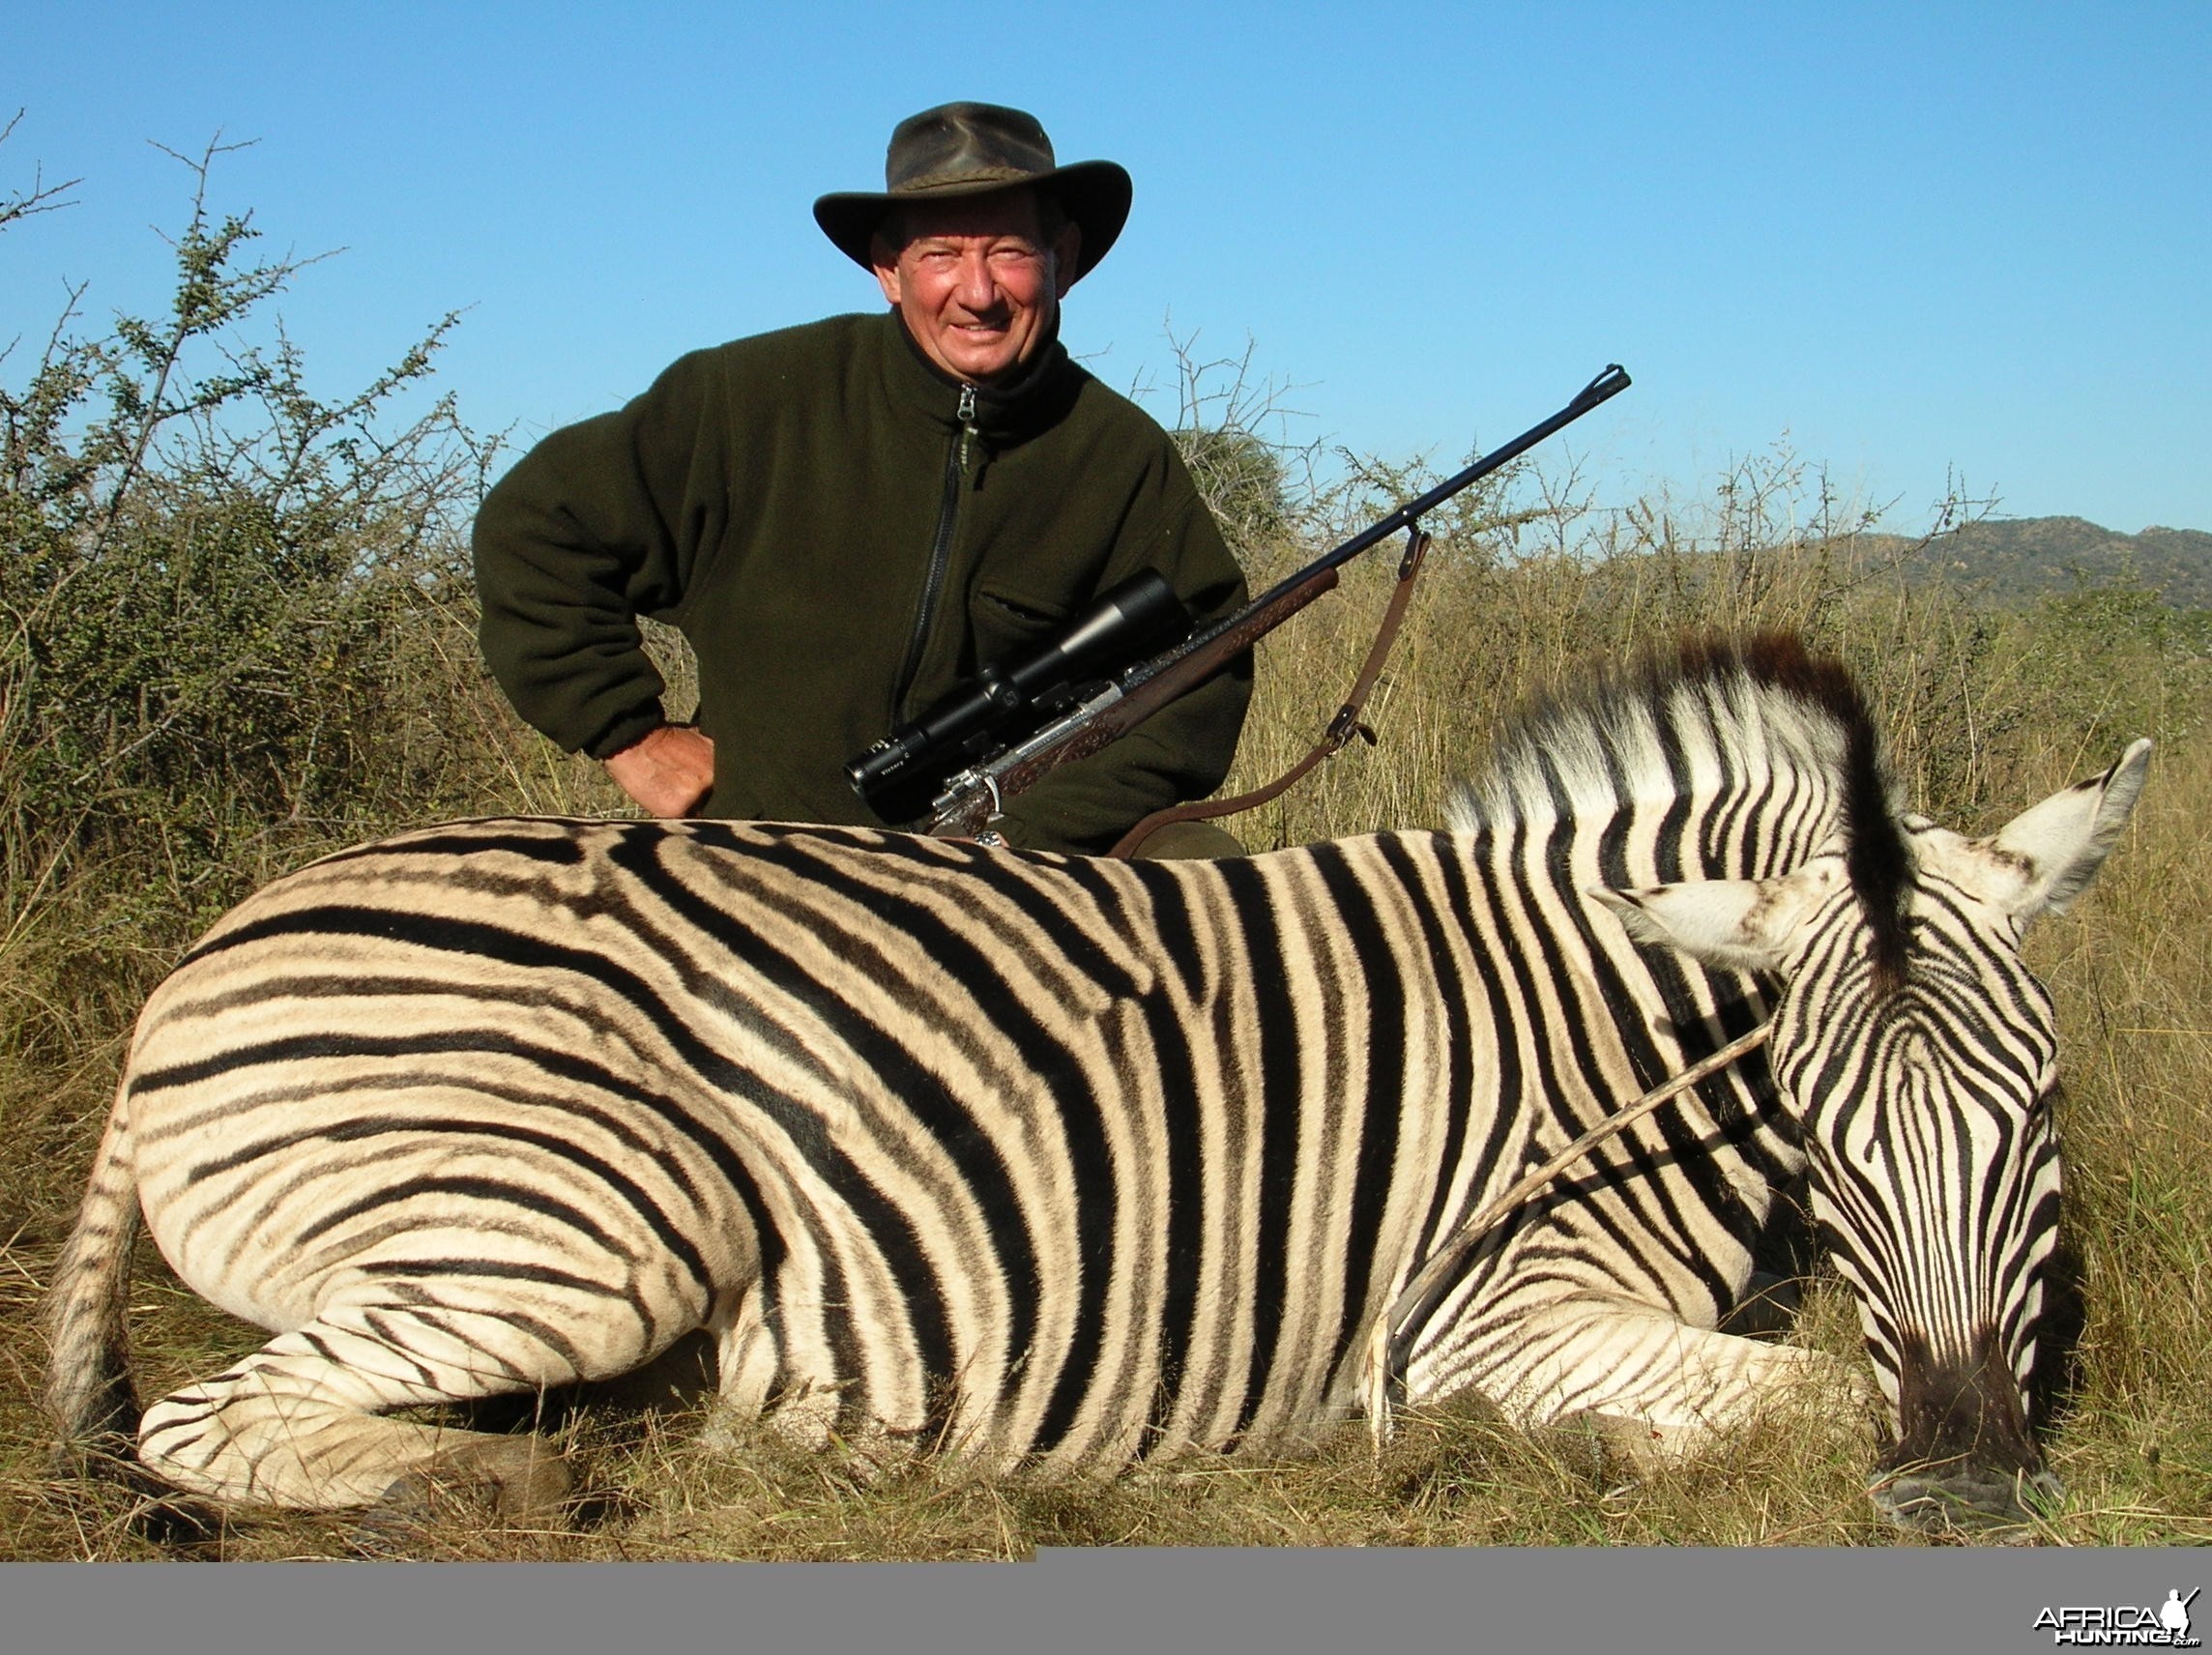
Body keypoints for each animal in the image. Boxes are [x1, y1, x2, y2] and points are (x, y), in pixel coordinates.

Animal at [43, 628, 2140, 1522]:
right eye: (1824, 1134)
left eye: (2038, 1117)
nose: (1966, 1475)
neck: (1609, 1020)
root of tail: (186, 977)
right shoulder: (1484, 1320)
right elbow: (1800, 1392)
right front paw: (1577, 1452)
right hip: (603, 1220)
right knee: (216, 1426)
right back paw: (537, 1478)